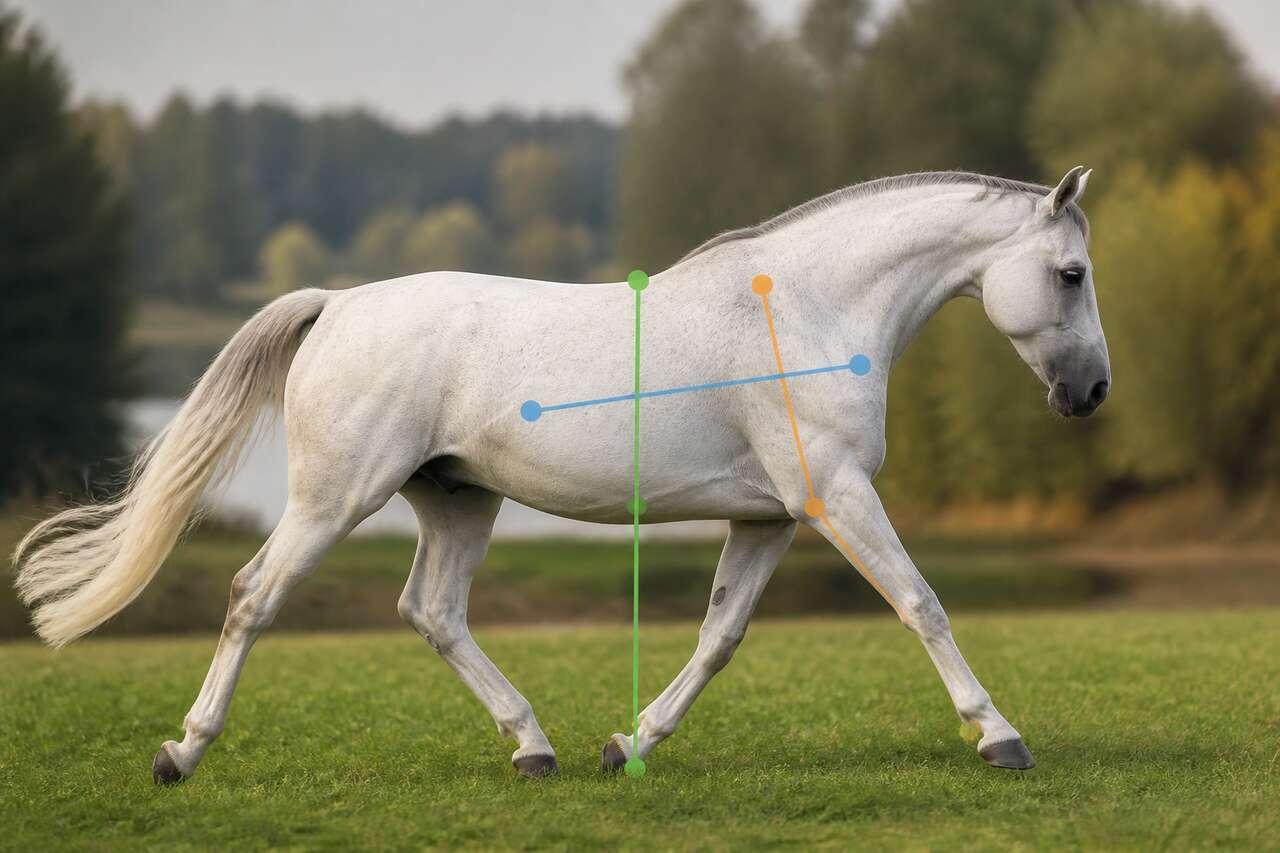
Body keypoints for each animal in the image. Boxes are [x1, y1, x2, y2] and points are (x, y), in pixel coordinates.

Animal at [14, 166, 1109, 782]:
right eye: (1071, 273)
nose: (1090, 390)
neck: (800, 307)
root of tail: (337, 304)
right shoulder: (835, 495)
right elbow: (922, 604)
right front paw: (998, 738)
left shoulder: (768, 518)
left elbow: (718, 638)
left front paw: (631, 744)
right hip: (335, 499)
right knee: (253, 595)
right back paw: (182, 751)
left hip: (458, 499)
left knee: (432, 610)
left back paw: (532, 747)